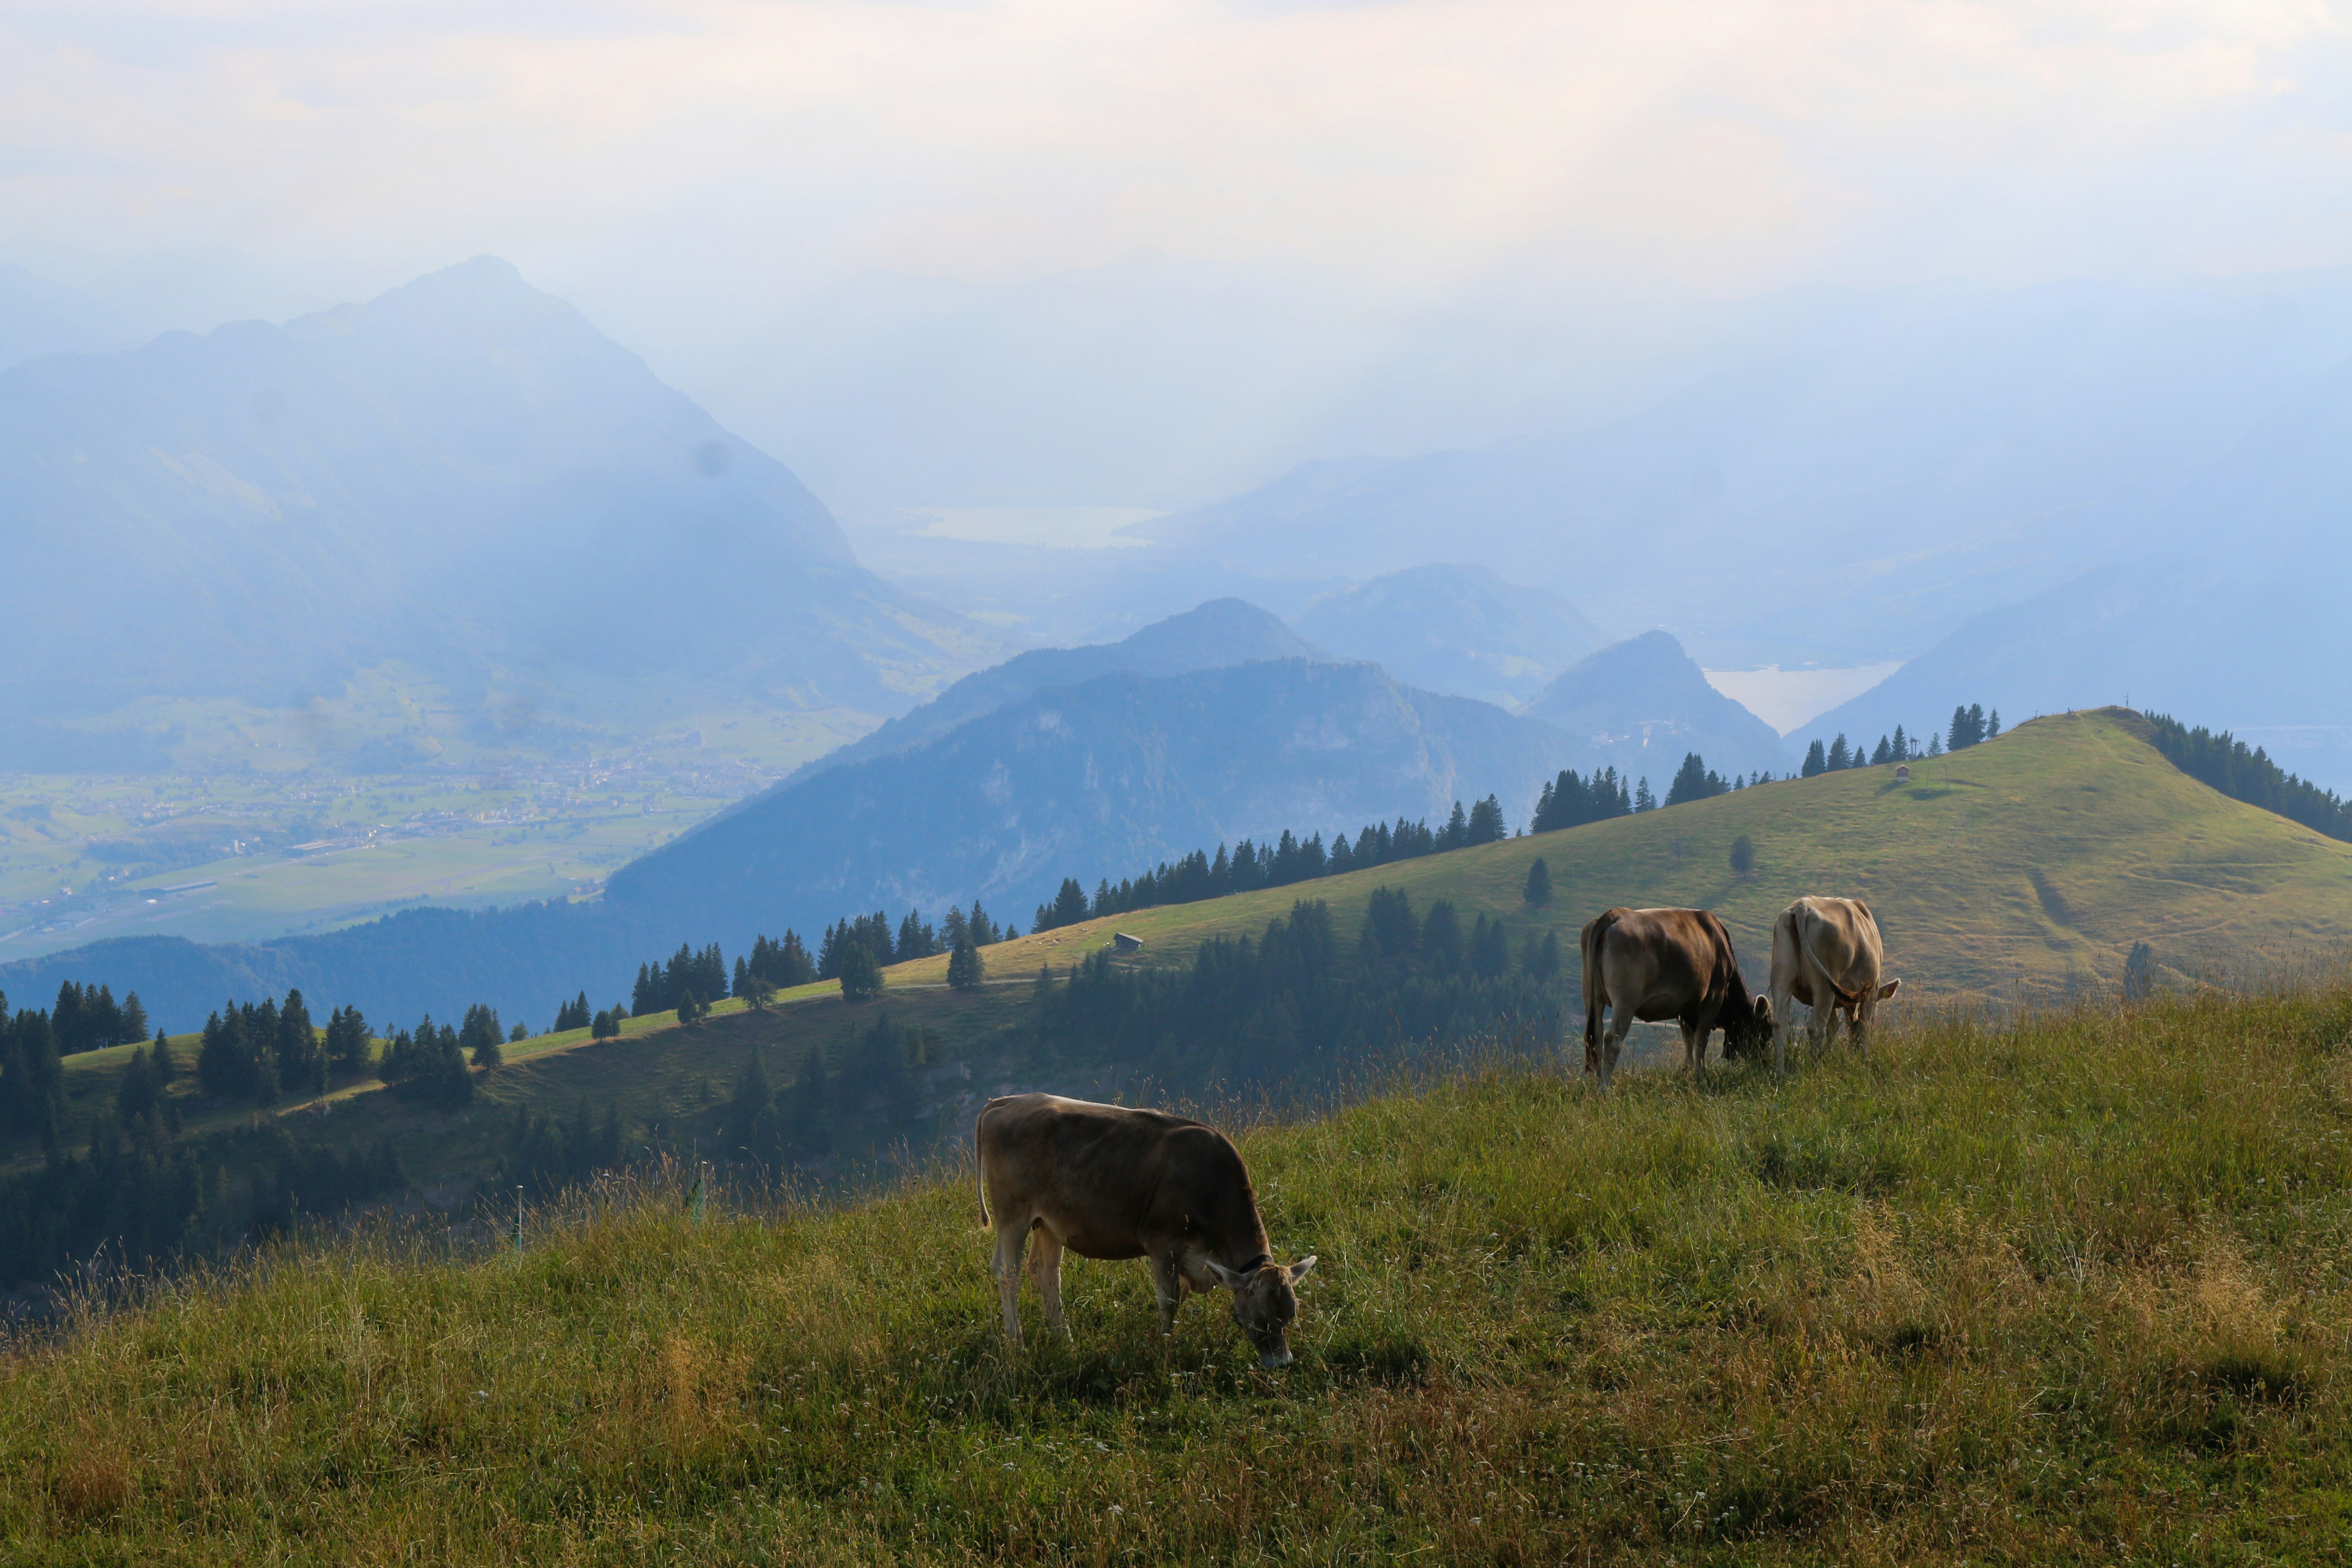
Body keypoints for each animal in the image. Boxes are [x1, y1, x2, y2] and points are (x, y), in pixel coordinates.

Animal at [975, 1093, 1317, 1368]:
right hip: (1012, 1215)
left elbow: (1180, 1296)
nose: (1282, 1364)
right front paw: (1164, 1346)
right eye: (1260, 1320)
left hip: (1048, 1223)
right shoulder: (1164, 1242)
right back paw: (1017, 1345)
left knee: (1045, 1273)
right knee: (1008, 1272)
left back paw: (1065, 1341)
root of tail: (1007, 1101)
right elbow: (1170, 1300)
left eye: (1291, 1314)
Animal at [1580, 907, 1773, 1091]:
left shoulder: (1684, 1008)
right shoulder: (1713, 999)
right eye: (1766, 1031)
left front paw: (1687, 1071)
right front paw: (1701, 1076)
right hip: (1625, 1001)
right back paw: (1605, 1087)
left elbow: (1688, 1040)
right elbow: (1700, 1041)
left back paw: (1598, 1081)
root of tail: (1615, 914)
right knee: (1612, 1039)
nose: (1762, 1065)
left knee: (1596, 1036)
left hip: (1592, 997)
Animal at [1768, 896, 1901, 1076]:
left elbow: (1835, 1026)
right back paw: (1814, 1068)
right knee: (1816, 1028)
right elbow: (1864, 1026)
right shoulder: (1872, 989)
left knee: (1780, 1026)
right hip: (1824, 985)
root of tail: (1803, 905)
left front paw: (1831, 1055)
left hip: (1782, 978)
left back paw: (1780, 1073)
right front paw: (1865, 1059)